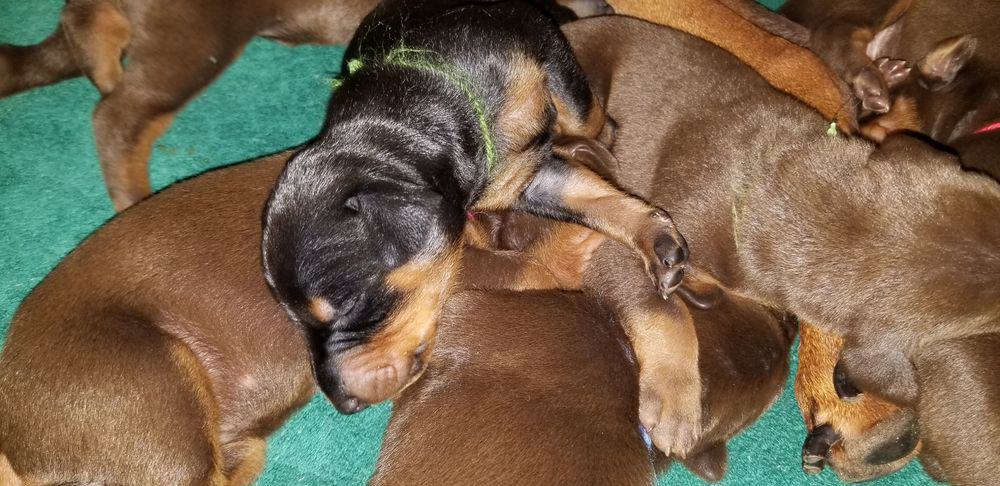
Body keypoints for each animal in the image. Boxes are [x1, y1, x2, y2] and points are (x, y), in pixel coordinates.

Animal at [262, 0, 692, 426]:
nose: (343, 403)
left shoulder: (544, 60)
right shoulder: (519, 180)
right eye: (293, 319)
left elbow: (594, 152)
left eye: (349, 305)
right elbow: (593, 197)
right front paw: (658, 242)